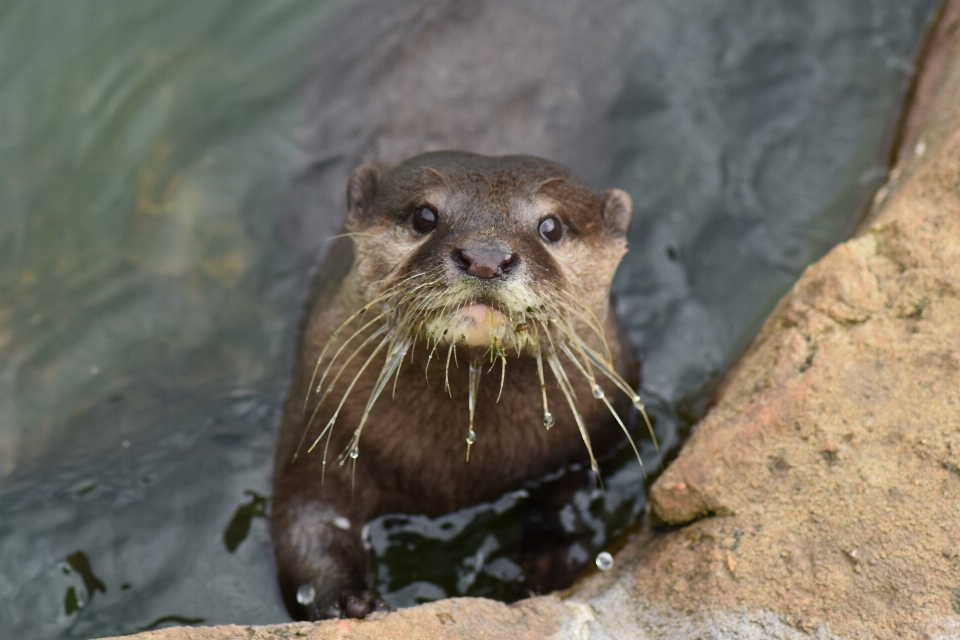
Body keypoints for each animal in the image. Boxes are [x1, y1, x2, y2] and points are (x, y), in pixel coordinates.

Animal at [270, 151, 644, 620]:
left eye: (552, 226)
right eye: (424, 215)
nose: (485, 257)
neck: (460, 469)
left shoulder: (593, 435)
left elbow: (566, 497)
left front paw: (547, 561)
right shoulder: (321, 416)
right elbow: (306, 517)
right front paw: (346, 598)